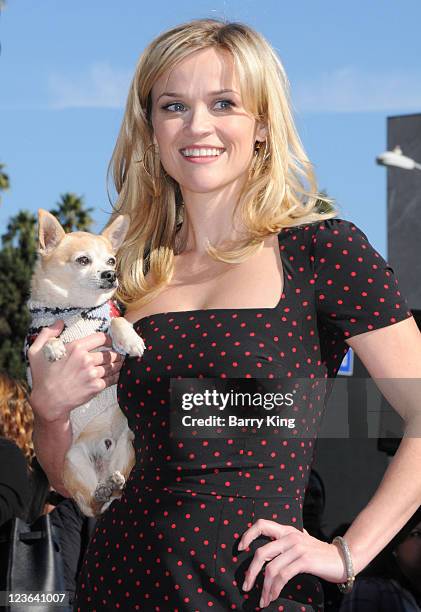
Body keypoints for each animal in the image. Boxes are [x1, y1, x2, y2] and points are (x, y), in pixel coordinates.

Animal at [25, 210, 146, 516]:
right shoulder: (35, 340)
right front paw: (55, 347)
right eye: (83, 260)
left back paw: (113, 485)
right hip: (73, 461)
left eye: (111, 261)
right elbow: (46, 338)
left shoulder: (109, 328)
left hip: (126, 446)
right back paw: (102, 491)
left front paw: (130, 339)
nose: (111, 275)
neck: (76, 310)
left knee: (113, 492)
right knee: (91, 503)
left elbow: (117, 320)